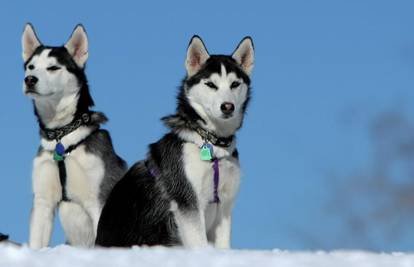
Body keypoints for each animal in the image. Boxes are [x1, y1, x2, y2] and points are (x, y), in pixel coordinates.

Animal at [21, 24, 126, 250]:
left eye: (53, 68)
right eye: (31, 67)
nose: (29, 80)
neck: (62, 138)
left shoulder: (99, 200)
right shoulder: (42, 202)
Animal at [96, 35, 254, 249]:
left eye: (235, 84)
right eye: (210, 85)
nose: (227, 107)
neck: (211, 146)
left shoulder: (224, 206)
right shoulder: (188, 203)